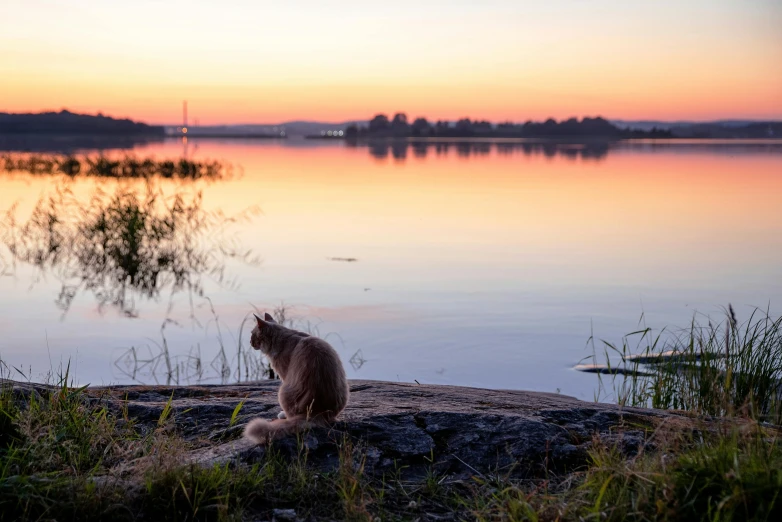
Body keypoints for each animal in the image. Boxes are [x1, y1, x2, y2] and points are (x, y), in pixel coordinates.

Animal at [245, 310, 350, 440]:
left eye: (252, 334)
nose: (250, 342)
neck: (283, 337)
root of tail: (318, 412)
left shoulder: (284, 375)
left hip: (282, 391)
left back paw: (283, 415)